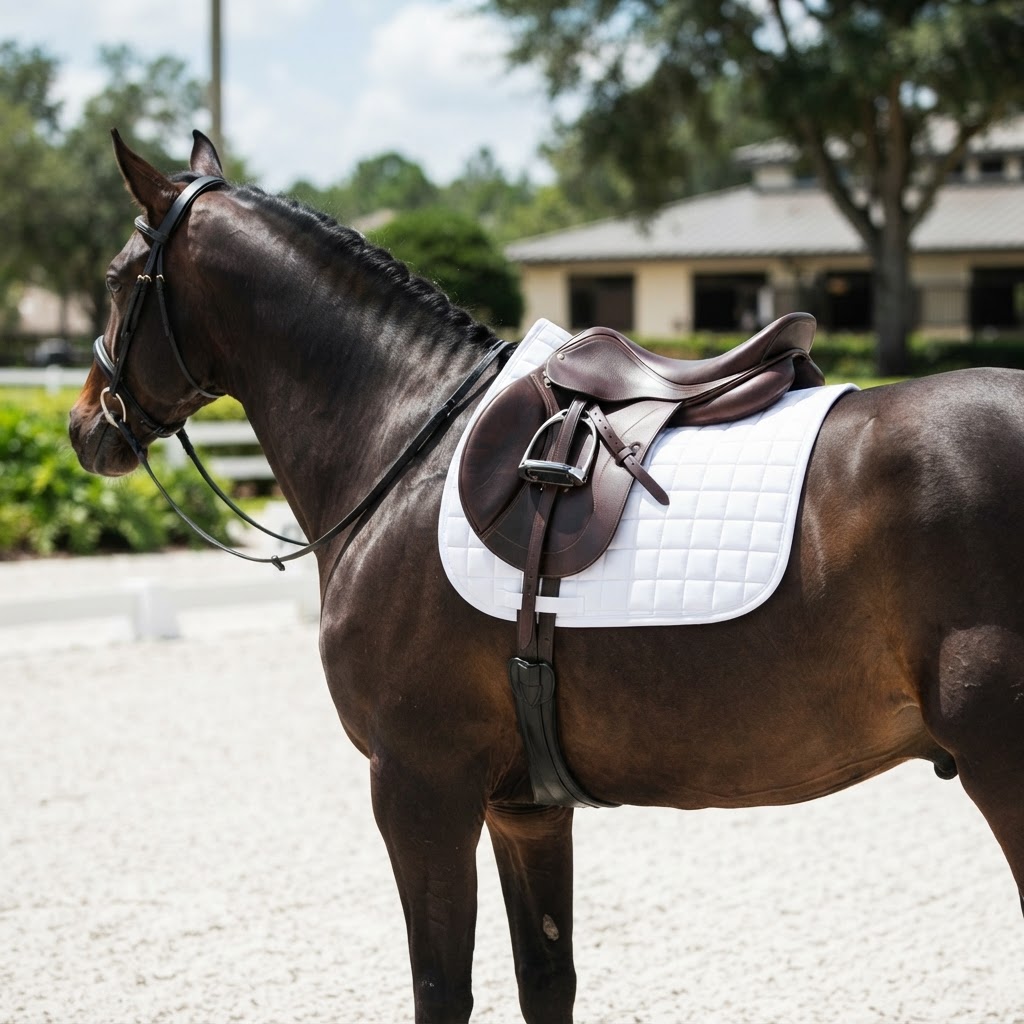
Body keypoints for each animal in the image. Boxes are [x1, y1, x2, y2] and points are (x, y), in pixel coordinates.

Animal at [69, 130, 1024, 1024]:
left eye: (116, 279)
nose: (85, 426)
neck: (407, 443)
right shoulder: (523, 808)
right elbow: (546, 981)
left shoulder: (419, 788)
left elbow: (441, 990)